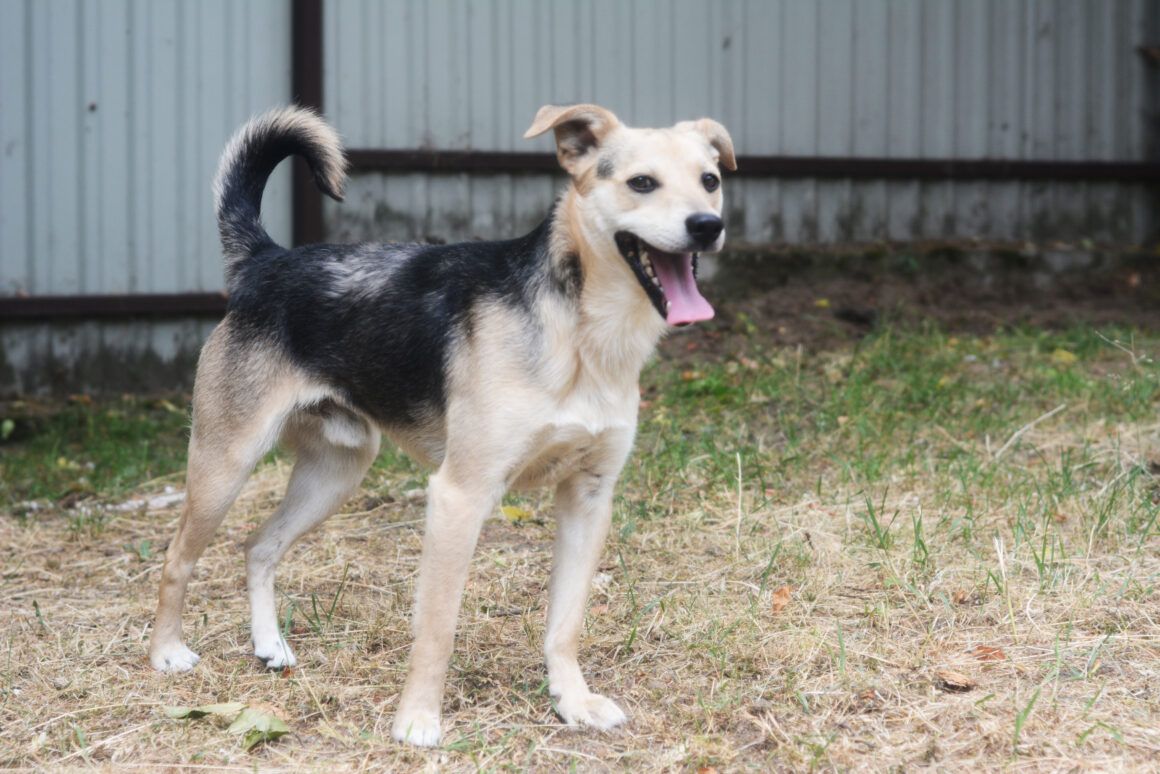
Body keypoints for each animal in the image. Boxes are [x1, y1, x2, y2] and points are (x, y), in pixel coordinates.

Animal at [148, 103, 735, 746]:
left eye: (710, 180)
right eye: (642, 183)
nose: (707, 225)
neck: (582, 332)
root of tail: (266, 259)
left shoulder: (589, 497)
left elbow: (566, 624)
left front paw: (572, 702)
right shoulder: (460, 495)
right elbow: (437, 627)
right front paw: (417, 720)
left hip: (335, 473)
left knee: (258, 546)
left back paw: (269, 644)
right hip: (225, 465)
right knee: (177, 558)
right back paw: (166, 652)